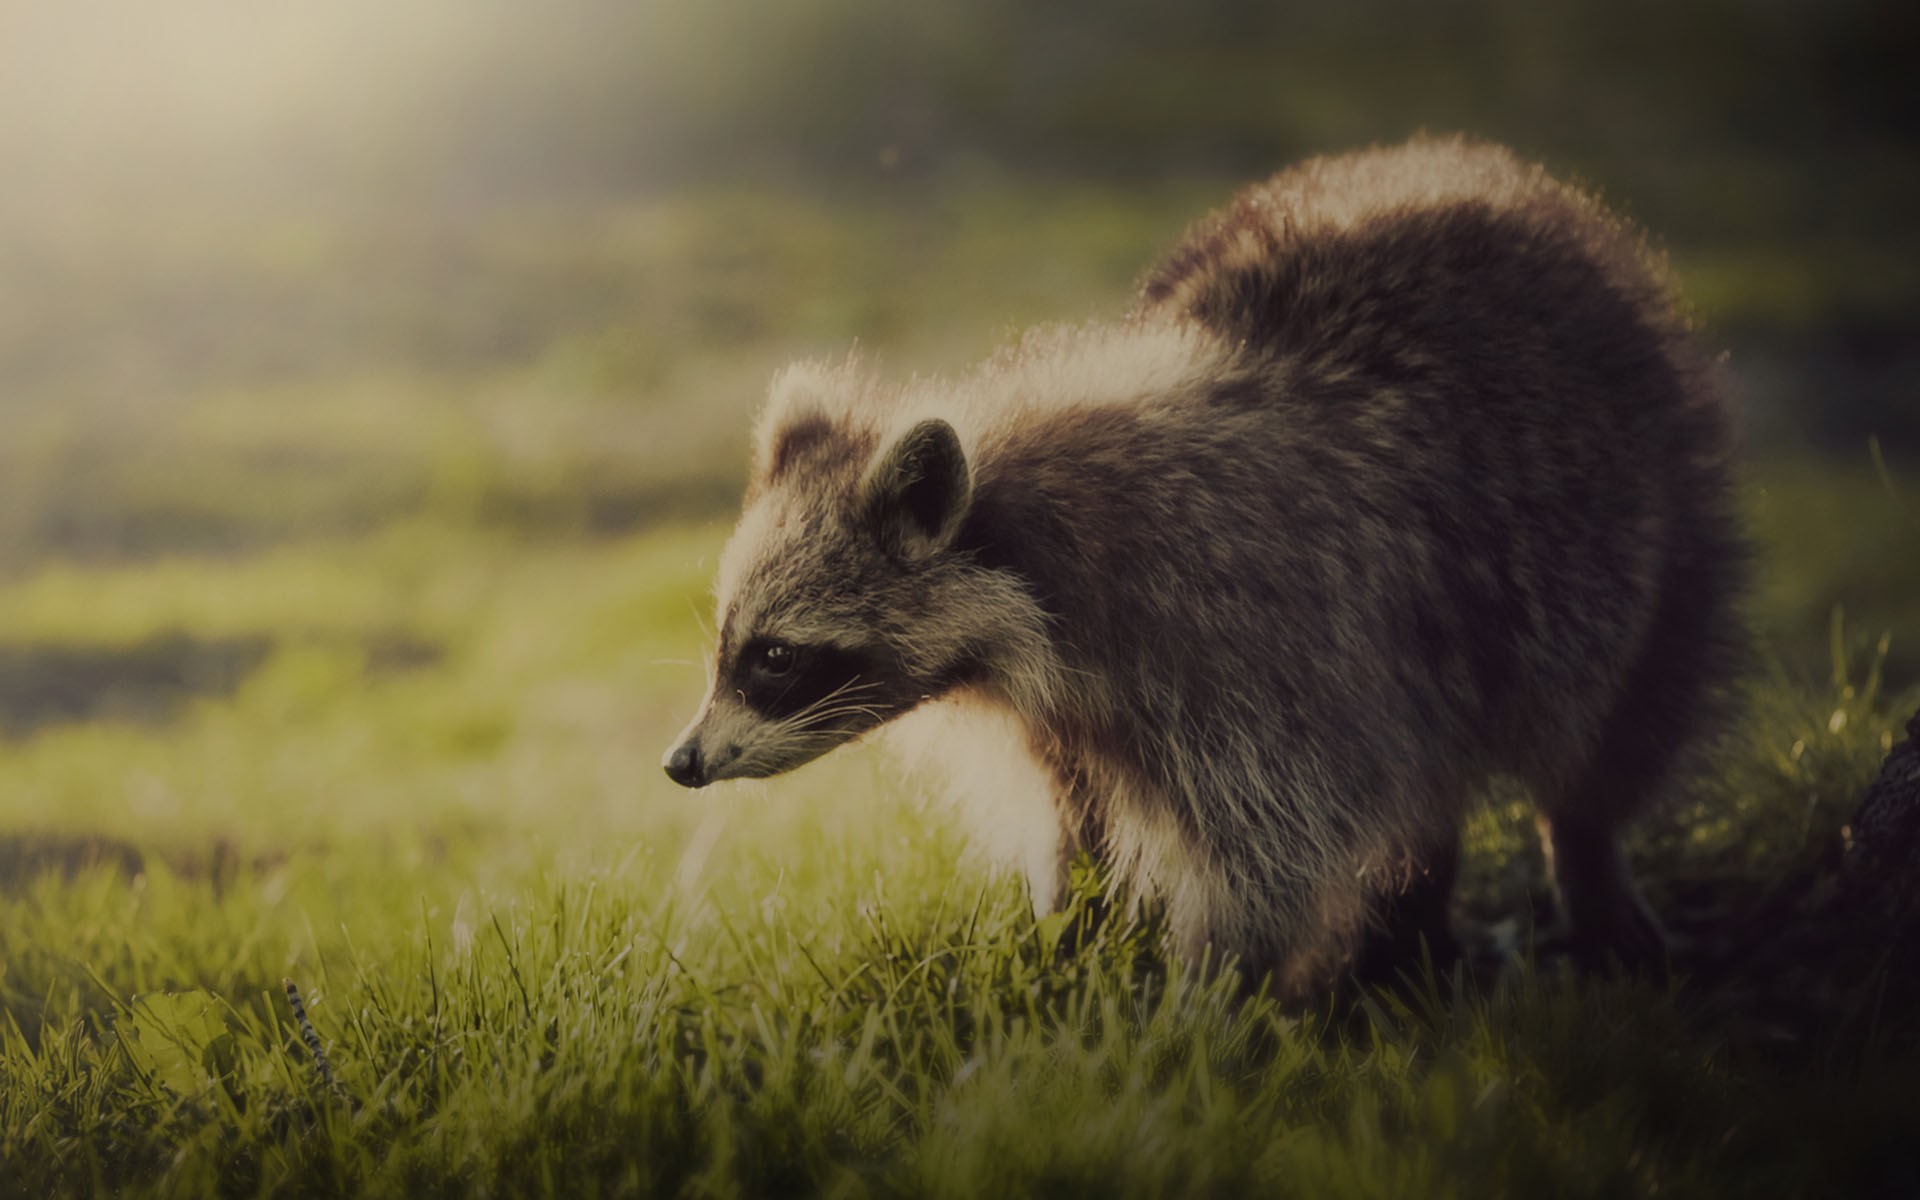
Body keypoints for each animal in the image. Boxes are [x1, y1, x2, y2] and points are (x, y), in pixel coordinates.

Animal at [663, 137, 1745, 994]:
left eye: (774, 657)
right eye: (728, 643)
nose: (681, 763)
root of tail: (1471, 163)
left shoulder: (1252, 641)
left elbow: (1272, 848)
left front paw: (1205, 998)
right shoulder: (1070, 706)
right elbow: (1080, 815)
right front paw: (1072, 932)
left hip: (1651, 515)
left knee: (1620, 717)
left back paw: (1585, 860)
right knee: (1428, 780)